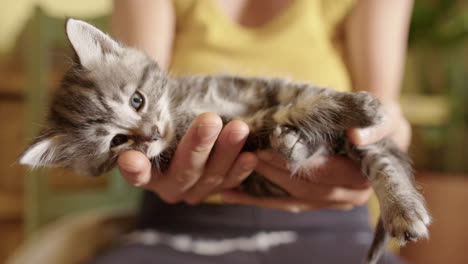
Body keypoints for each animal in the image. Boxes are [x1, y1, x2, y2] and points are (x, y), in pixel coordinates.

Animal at [19, 19, 432, 264]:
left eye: (138, 100)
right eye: (118, 140)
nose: (152, 134)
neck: (182, 107)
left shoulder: (261, 87)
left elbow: (306, 97)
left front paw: (356, 104)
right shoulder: (239, 128)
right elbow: (278, 115)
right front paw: (321, 118)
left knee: (381, 158)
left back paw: (402, 208)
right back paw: (293, 145)